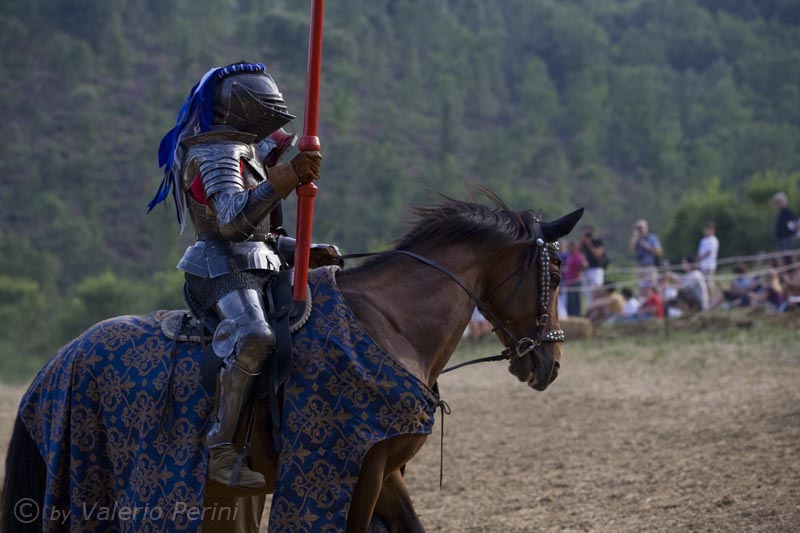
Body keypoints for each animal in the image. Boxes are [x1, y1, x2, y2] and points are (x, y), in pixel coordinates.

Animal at [3, 193, 584, 528]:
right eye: (555, 272)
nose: (550, 363)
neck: (389, 325)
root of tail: (56, 364)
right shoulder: (355, 470)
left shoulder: (383, 471)